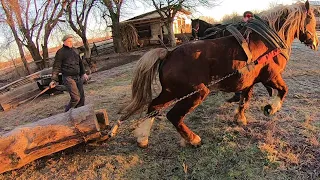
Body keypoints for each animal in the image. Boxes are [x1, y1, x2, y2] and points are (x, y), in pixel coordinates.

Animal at [120, 1, 318, 148]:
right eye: (312, 20)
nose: (315, 43)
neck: (266, 42)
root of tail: (168, 54)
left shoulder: (249, 81)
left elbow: (245, 99)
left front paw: (240, 118)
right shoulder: (271, 76)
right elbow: (284, 90)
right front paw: (271, 108)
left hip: (171, 91)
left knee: (153, 107)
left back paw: (143, 138)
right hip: (196, 93)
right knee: (173, 116)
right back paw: (193, 139)